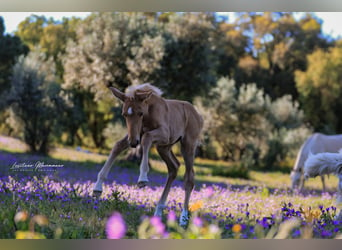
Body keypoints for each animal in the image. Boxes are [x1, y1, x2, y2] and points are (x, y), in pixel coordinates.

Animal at [93, 83, 203, 226]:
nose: (133, 143)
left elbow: (146, 138)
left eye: (140, 113)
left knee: (189, 177)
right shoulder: (136, 134)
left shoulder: (164, 134)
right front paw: (97, 188)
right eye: (124, 114)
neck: (149, 113)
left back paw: (183, 218)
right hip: (163, 147)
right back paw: (158, 212)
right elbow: (118, 146)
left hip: (187, 145)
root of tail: (198, 115)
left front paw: (143, 178)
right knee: (174, 167)